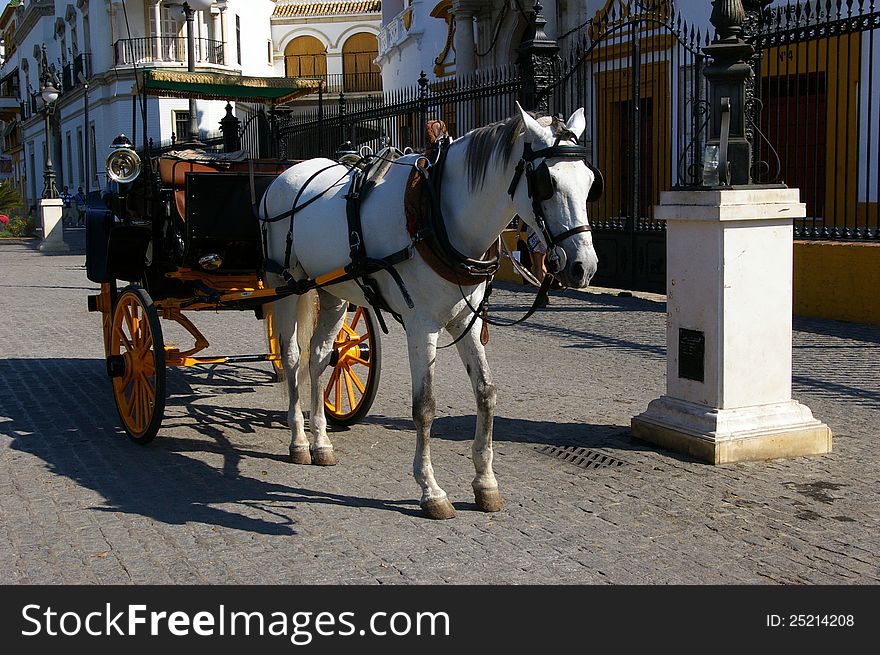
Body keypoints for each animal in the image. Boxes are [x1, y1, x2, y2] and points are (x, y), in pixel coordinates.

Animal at [262, 105, 600, 520]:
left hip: (333, 291)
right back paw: (298, 439)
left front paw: (485, 482)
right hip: (286, 285)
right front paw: (431, 490)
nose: (583, 267)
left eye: (590, 182)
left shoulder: (465, 320)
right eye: (546, 182)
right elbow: (424, 407)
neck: (437, 215)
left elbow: (486, 392)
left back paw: (321, 442)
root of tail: (284, 176)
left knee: (320, 357)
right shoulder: (421, 326)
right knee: (293, 357)